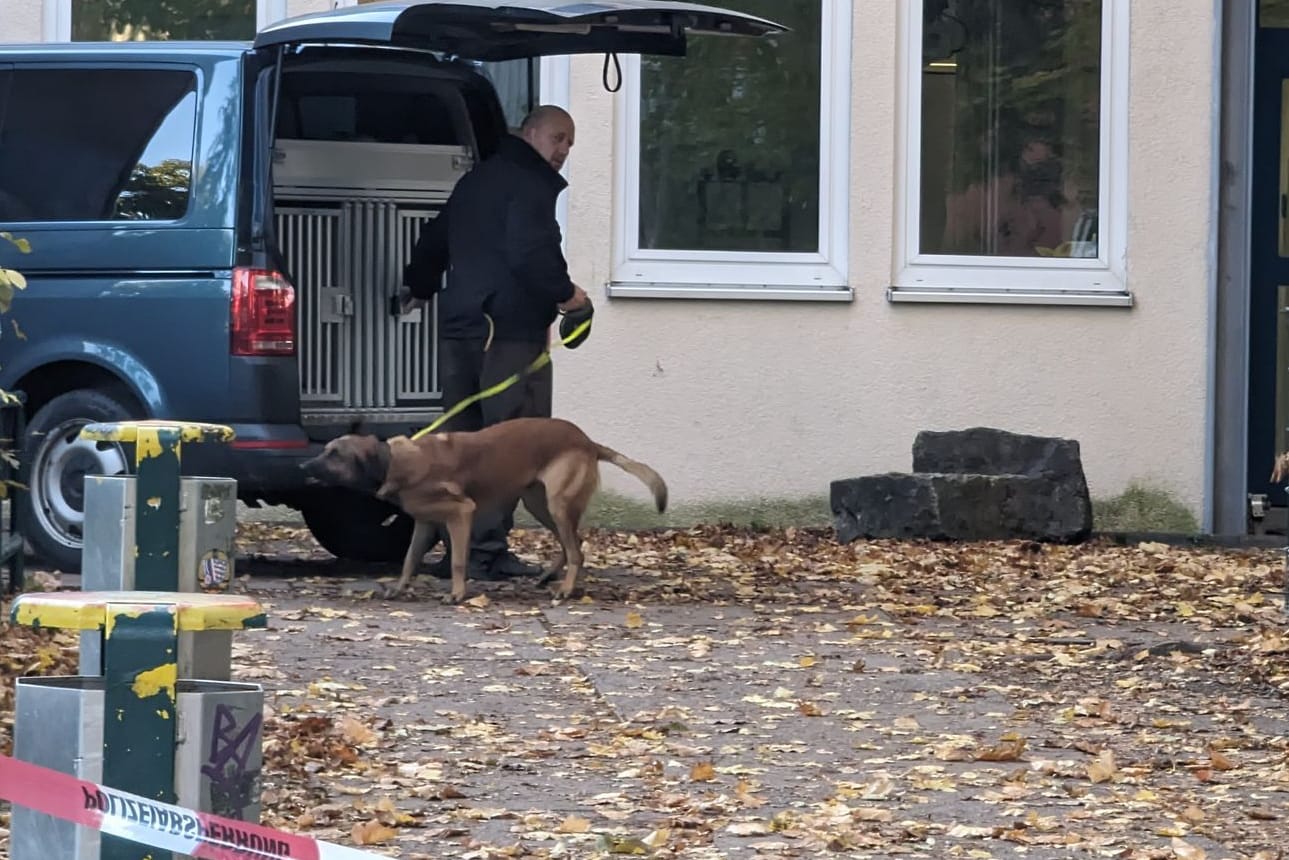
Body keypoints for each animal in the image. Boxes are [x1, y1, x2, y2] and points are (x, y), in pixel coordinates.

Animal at [297, 415, 670, 603]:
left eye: (334, 454)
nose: (303, 466)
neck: (393, 462)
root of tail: (587, 441)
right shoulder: (425, 524)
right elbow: (409, 560)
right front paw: (399, 588)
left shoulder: (462, 513)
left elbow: (459, 561)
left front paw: (457, 594)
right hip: (539, 504)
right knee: (571, 545)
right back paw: (549, 577)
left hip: (557, 504)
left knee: (577, 550)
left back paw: (565, 589)